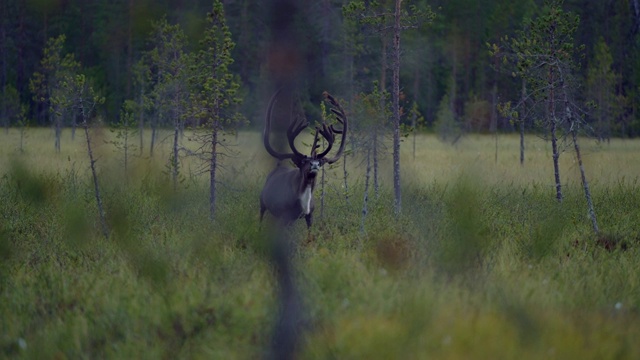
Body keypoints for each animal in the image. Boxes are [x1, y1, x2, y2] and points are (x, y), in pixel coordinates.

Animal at [260, 89, 348, 228]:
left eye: (320, 162)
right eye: (303, 161)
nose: (314, 164)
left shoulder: (309, 215)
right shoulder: (285, 215)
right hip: (263, 202)